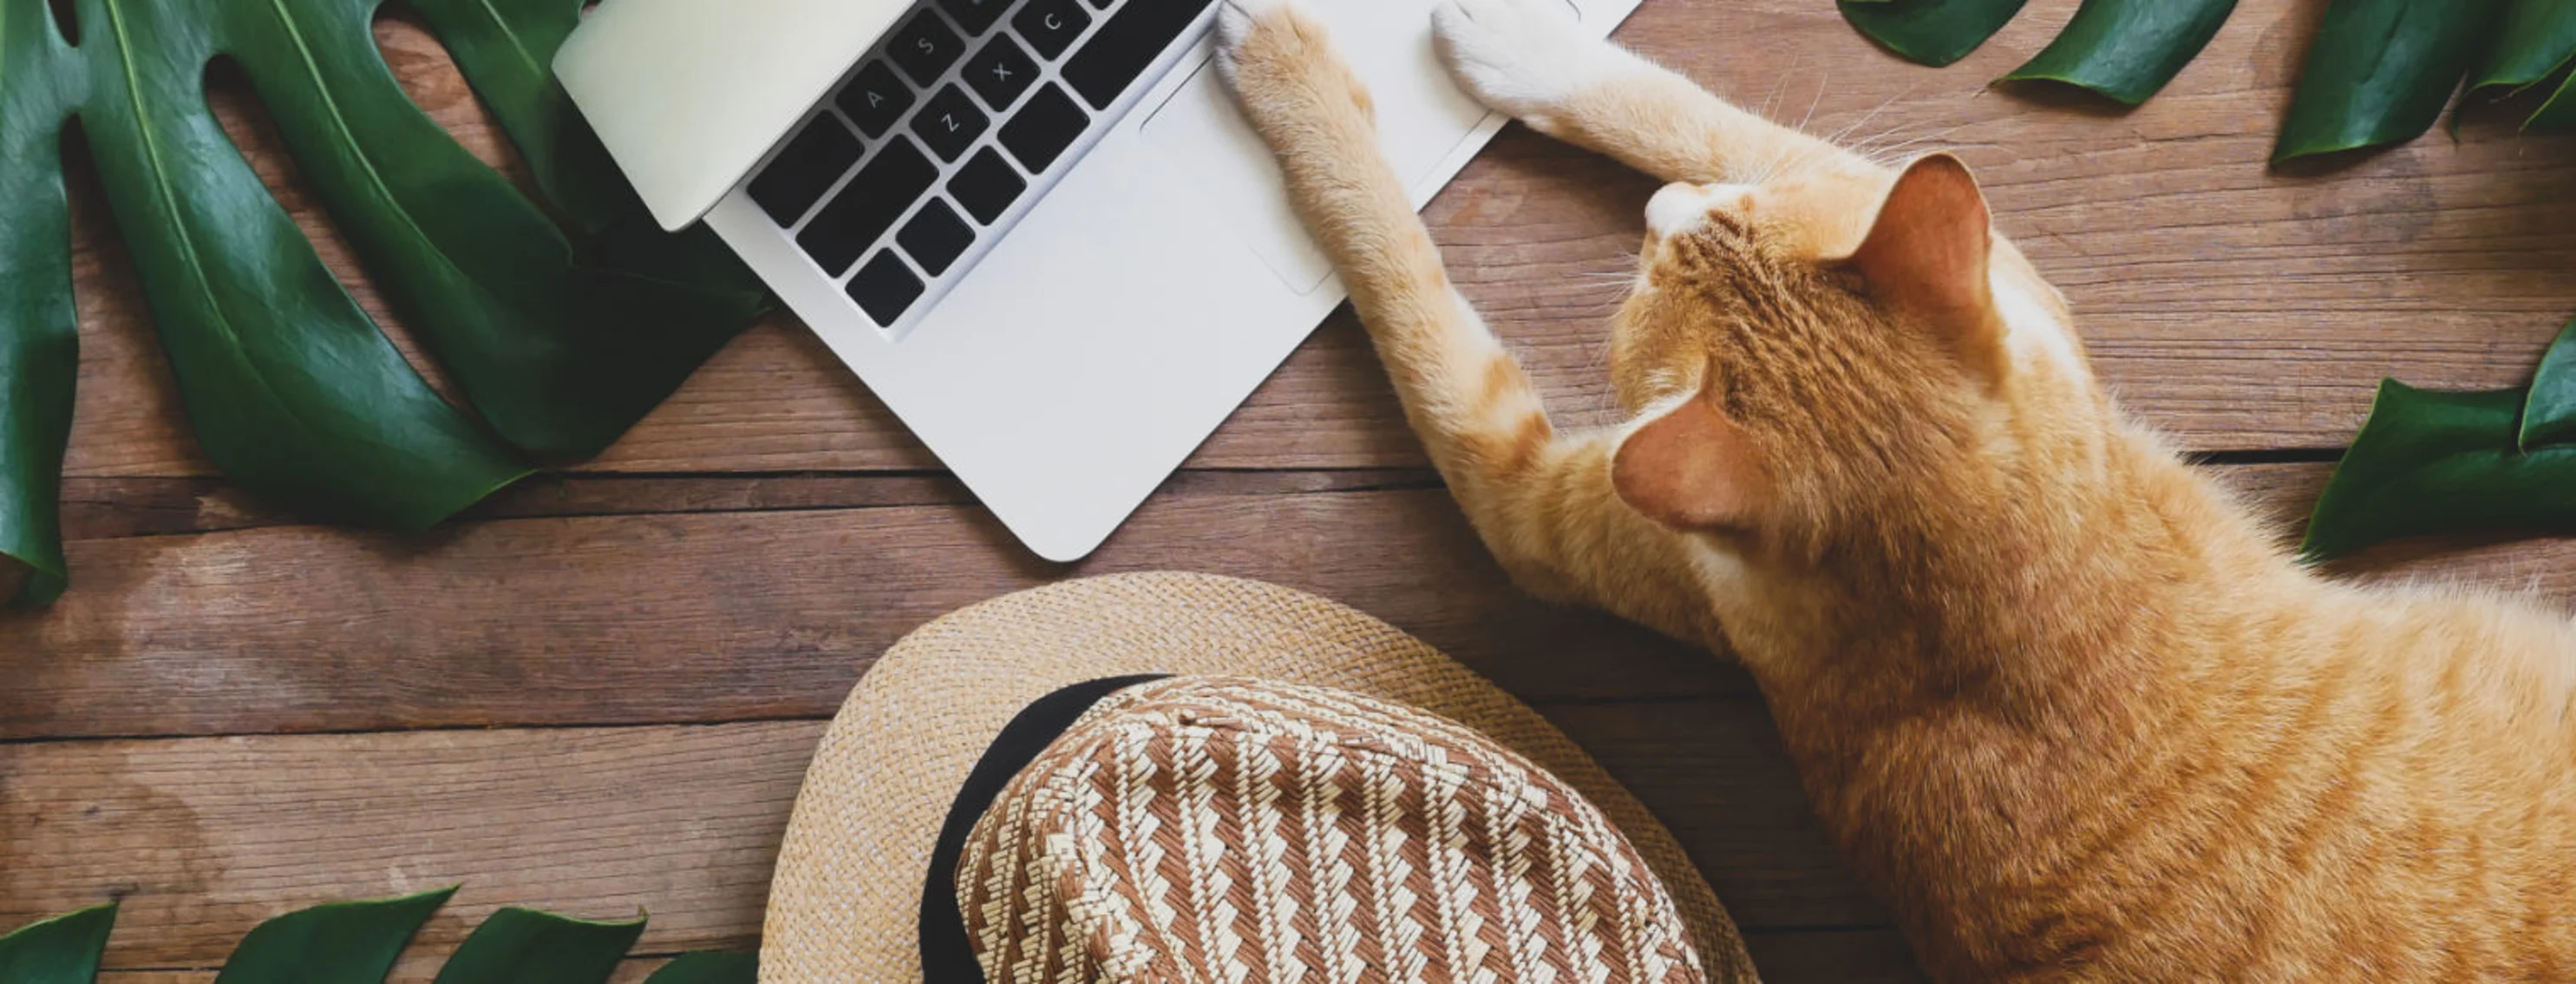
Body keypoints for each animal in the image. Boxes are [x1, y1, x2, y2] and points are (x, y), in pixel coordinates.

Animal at [1215, 0, 2576, 979]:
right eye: (1688, 236)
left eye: (1655, 268)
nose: (1659, 212)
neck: (2015, 587)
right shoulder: (2011, 294)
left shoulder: (1535, 498)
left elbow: (1417, 267)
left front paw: (1361, 69)